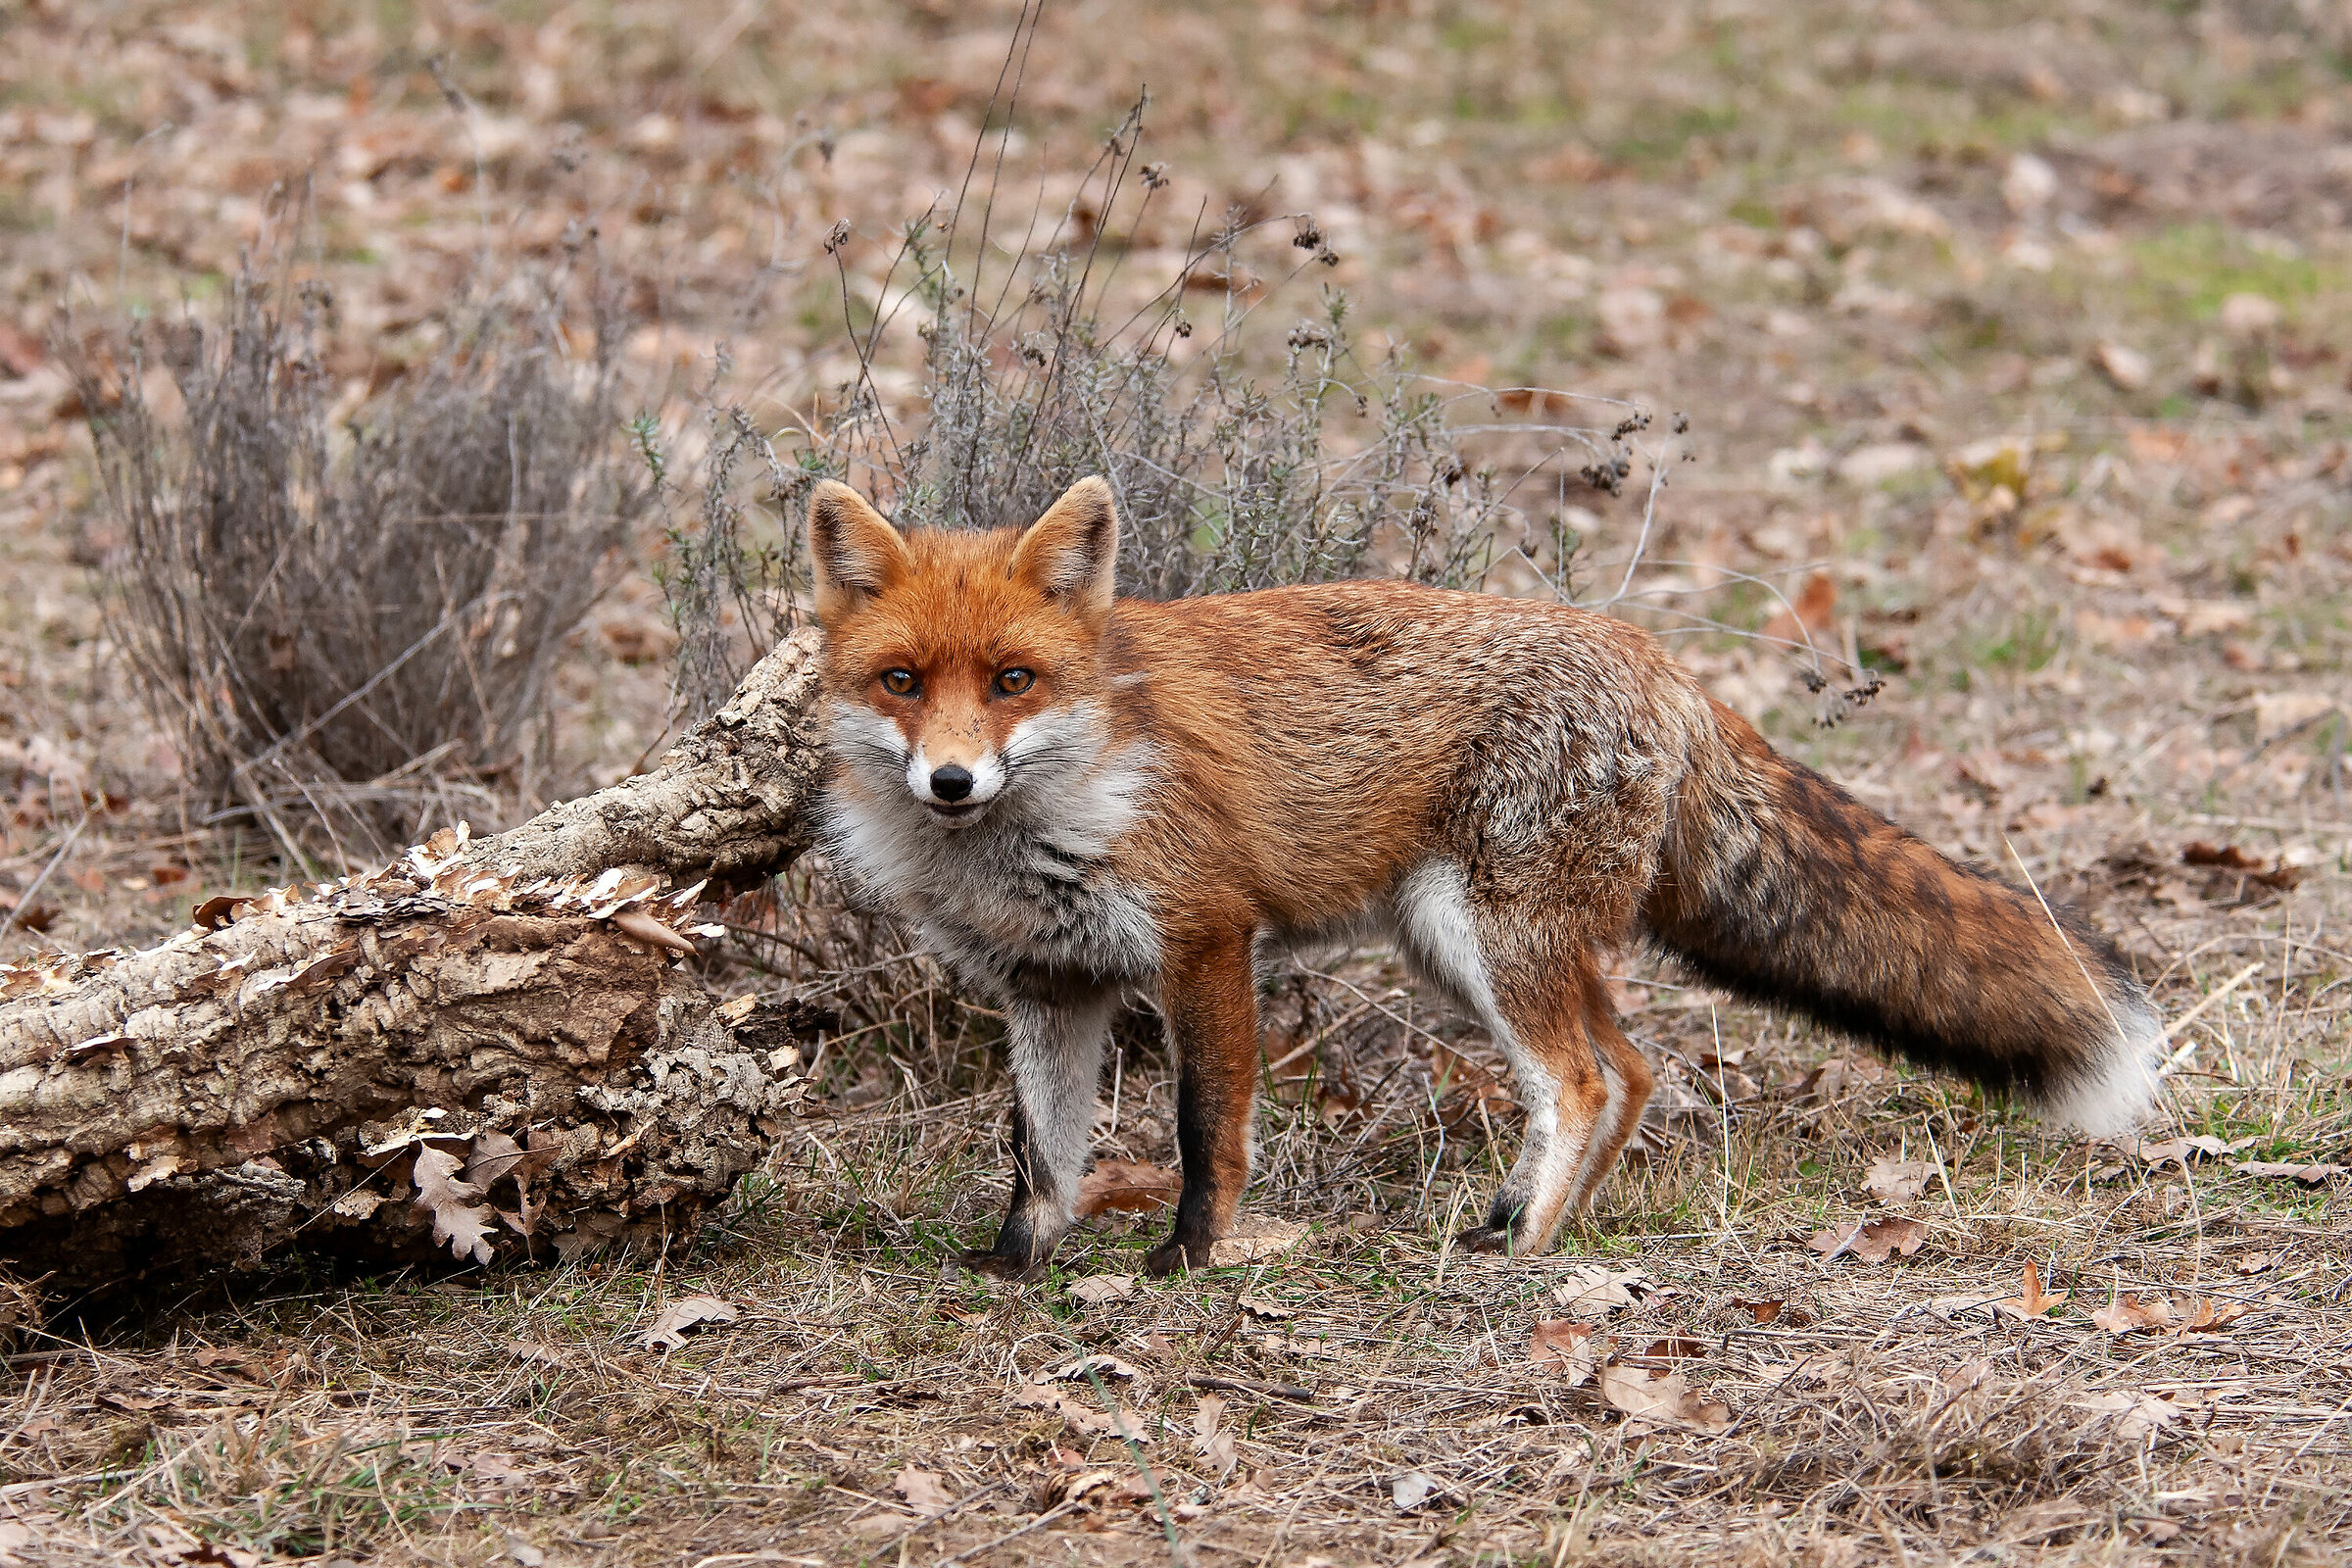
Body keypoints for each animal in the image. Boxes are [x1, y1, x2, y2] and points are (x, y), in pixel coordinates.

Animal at [806, 475, 2161, 1278]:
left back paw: (1528, 1250)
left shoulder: (1204, 939)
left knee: (1581, 1076)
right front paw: (1010, 1265)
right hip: (1463, 945)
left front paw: (1187, 1262)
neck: (1056, 810)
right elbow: (1041, 1150)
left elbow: (1204, 1130)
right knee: (1630, 1070)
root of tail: (1658, 659)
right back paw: (1527, 1220)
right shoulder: (1049, 984)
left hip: (1491, 938)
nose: (951, 782)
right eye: (903, 683)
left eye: (1014, 681)